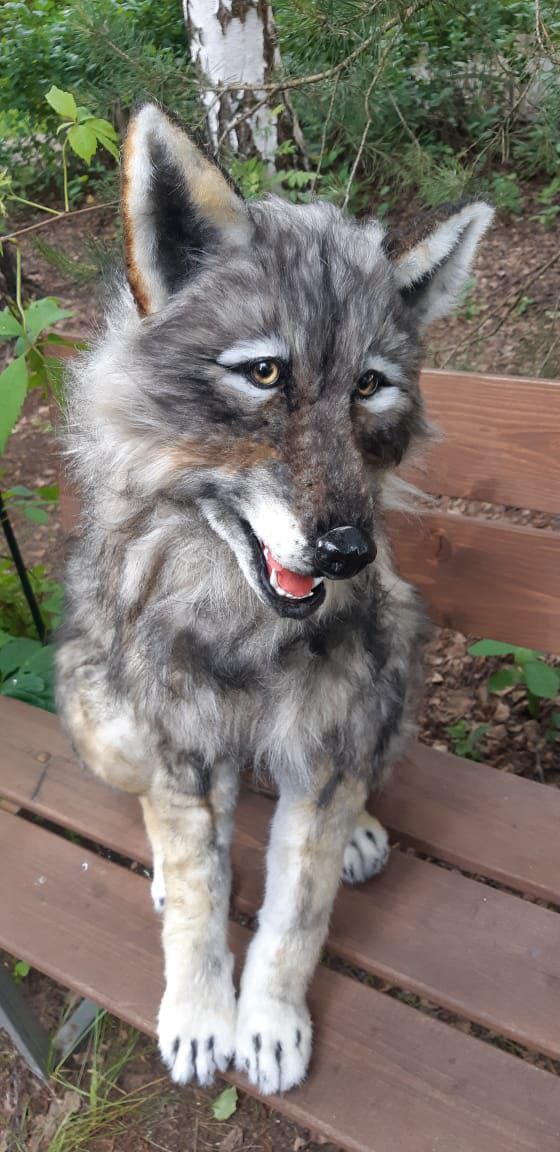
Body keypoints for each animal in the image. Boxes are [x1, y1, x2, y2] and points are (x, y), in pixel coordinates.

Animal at [56, 103, 492, 1096]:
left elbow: (297, 918)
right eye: (264, 374)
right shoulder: (177, 744)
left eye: (369, 384)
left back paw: (362, 830)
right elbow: (200, 902)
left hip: (397, 667)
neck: (247, 633)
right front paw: (199, 1012)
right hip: (99, 711)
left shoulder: (325, 751)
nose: (349, 551)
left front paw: (270, 1021)